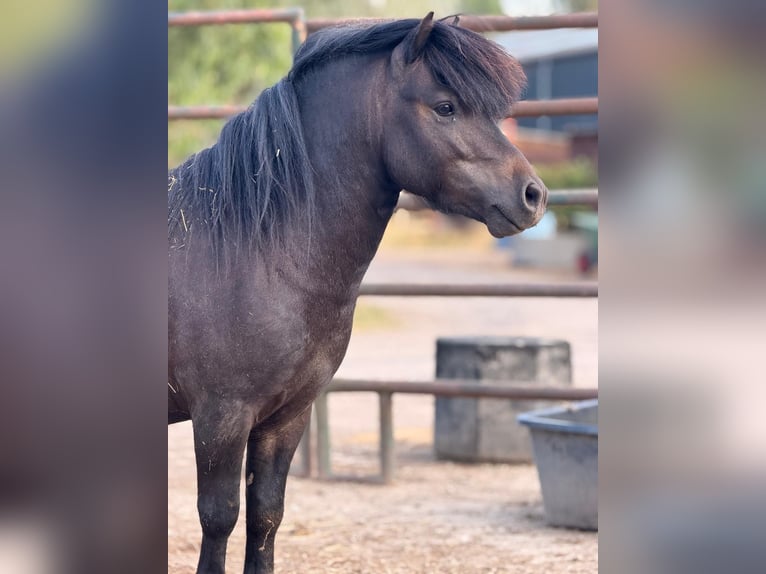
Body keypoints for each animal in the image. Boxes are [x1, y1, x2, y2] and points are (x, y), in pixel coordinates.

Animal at [168, 13, 547, 574]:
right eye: (446, 106)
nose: (533, 195)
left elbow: (265, 516)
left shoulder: (287, 417)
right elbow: (219, 520)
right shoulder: (220, 417)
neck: (252, 249)